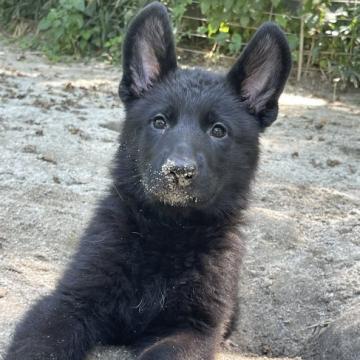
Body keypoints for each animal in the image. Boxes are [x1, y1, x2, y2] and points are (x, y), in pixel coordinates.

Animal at [5, 2, 292, 360]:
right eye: (159, 122)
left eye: (218, 131)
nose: (179, 172)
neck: (167, 232)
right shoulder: (69, 302)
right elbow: (41, 343)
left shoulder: (194, 329)